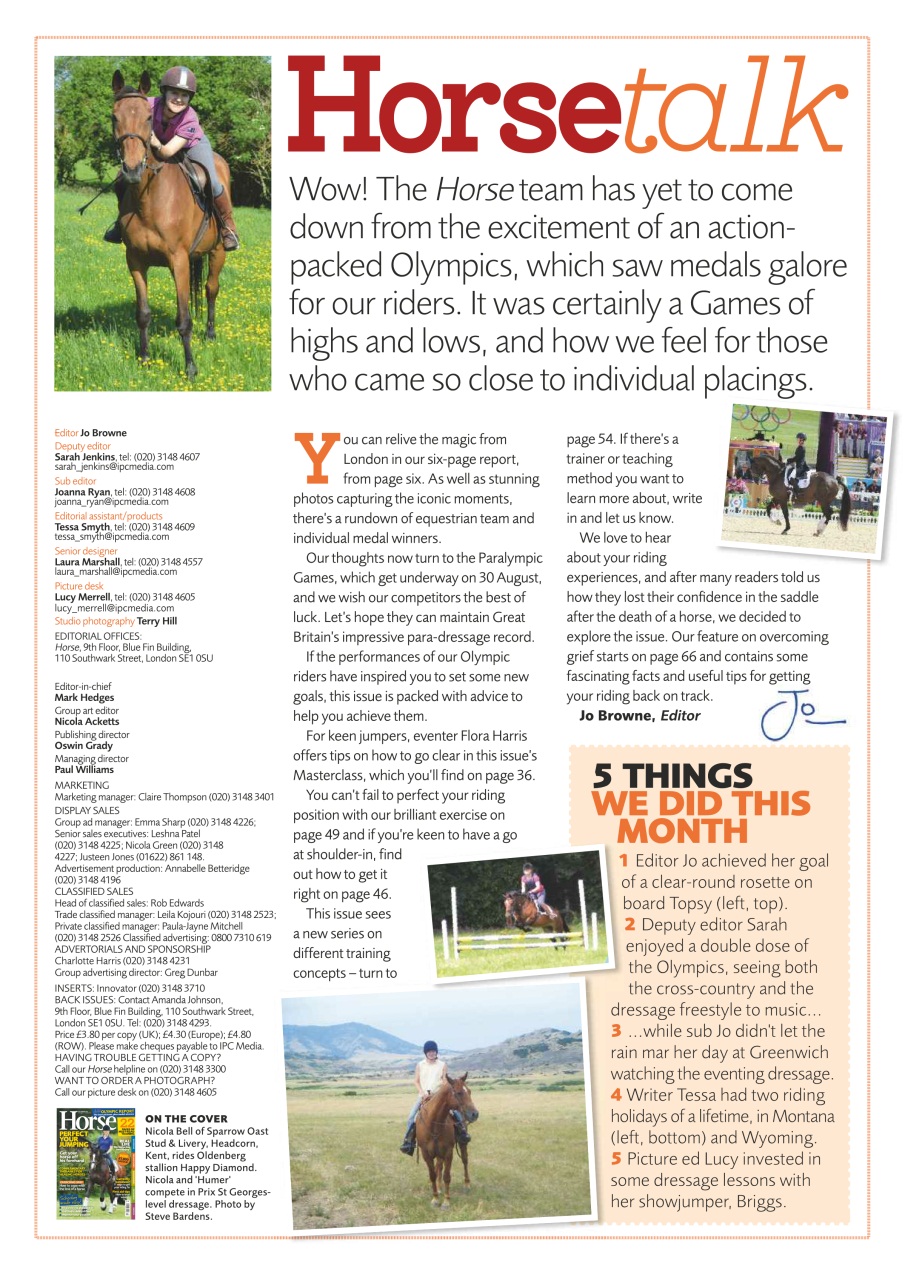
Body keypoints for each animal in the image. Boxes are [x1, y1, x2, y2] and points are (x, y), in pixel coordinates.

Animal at [110, 70, 228, 380]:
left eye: (148, 117)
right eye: (114, 116)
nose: (132, 170)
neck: (149, 199)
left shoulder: (179, 261)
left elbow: (184, 319)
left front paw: (190, 367)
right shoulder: (135, 261)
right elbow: (143, 314)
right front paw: (144, 358)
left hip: (217, 252)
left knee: (211, 289)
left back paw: (210, 334)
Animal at [414, 1075, 478, 1209]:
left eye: (469, 1091)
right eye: (459, 1093)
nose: (475, 1114)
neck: (434, 1123)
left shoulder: (448, 1152)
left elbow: (447, 1176)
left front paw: (446, 1201)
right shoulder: (426, 1153)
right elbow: (432, 1174)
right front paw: (435, 1198)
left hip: (462, 1144)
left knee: (465, 1160)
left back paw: (467, 1184)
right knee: (439, 1166)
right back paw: (439, 1188)